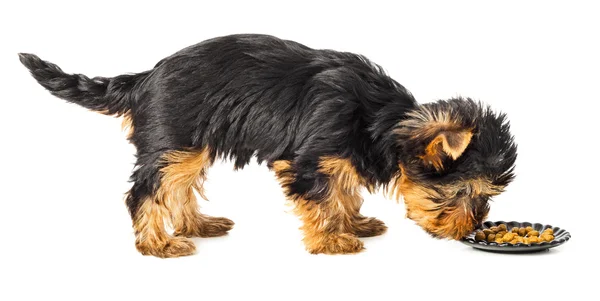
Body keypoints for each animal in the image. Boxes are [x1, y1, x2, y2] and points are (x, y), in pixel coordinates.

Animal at [18, 34, 516, 256]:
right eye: (465, 193)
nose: (472, 229)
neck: (383, 123)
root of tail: (145, 79)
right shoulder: (311, 159)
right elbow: (324, 197)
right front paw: (332, 239)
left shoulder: (337, 157)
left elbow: (344, 189)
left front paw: (353, 224)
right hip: (173, 137)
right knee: (146, 191)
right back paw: (158, 244)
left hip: (189, 143)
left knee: (178, 184)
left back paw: (196, 226)